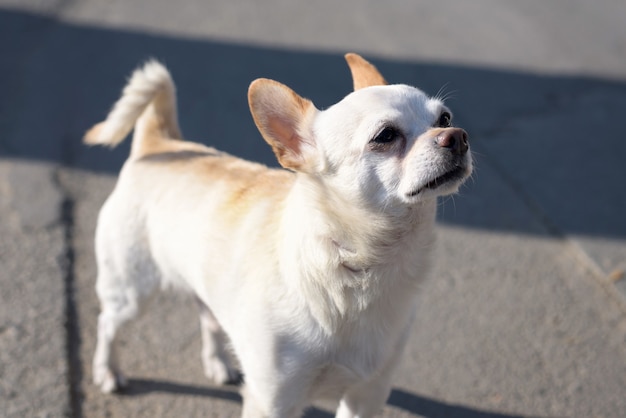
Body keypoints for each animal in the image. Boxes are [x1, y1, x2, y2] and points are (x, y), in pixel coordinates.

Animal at [85, 54, 470, 416]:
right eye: (386, 136)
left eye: (444, 118)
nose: (458, 137)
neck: (358, 267)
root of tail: (159, 144)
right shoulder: (273, 401)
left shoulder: (367, 395)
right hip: (131, 293)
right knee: (106, 323)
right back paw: (106, 371)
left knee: (208, 317)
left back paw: (216, 362)